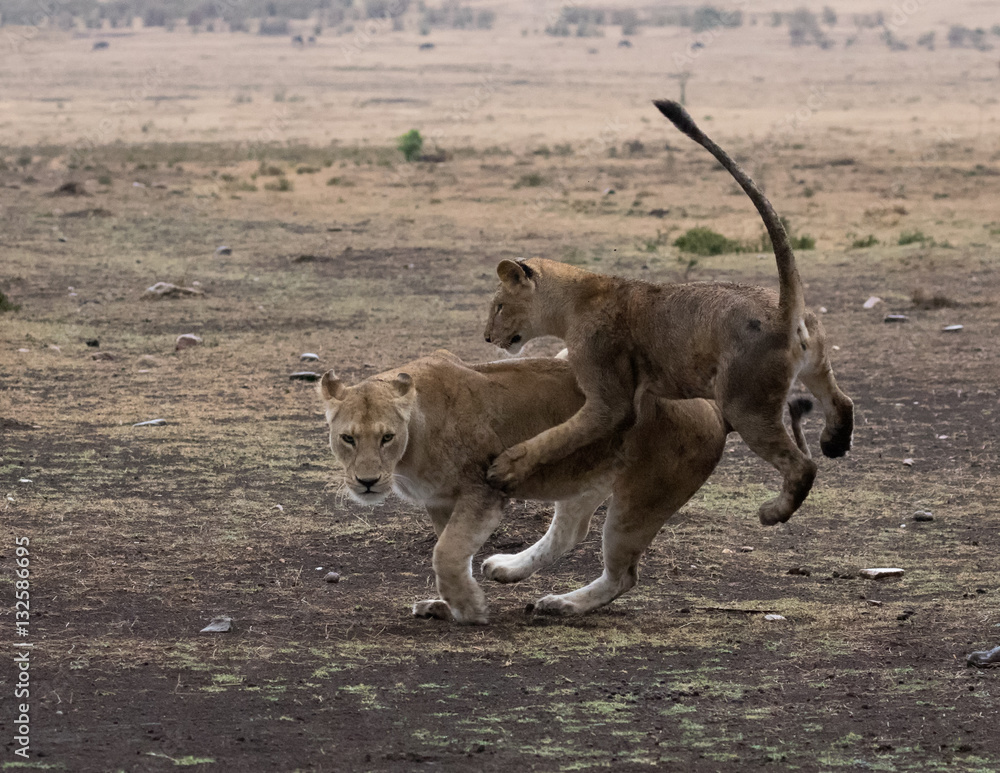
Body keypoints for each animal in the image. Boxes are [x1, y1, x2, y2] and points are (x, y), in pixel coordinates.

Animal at [319, 350, 812, 624]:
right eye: (348, 438)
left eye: (386, 437)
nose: (366, 482)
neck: (412, 442)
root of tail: (710, 405)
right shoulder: (442, 501)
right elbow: (451, 552)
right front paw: (451, 605)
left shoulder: (484, 490)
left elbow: (446, 553)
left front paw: (470, 611)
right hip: (582, 474)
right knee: (572, 531)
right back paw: (509, 569)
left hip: (640, 499)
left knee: (623, 575)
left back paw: (564, 606)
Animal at [483, 99, 853, 527]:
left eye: (498, 306)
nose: (487, 337)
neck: (576, 297)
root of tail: (782, 310)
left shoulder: (609, 399)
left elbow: (559, 435)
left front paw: (506, 468)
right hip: (814, 364)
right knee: (842, 401)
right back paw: (834, 441)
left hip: (745, 403)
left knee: (801, 466)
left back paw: (774, 511)